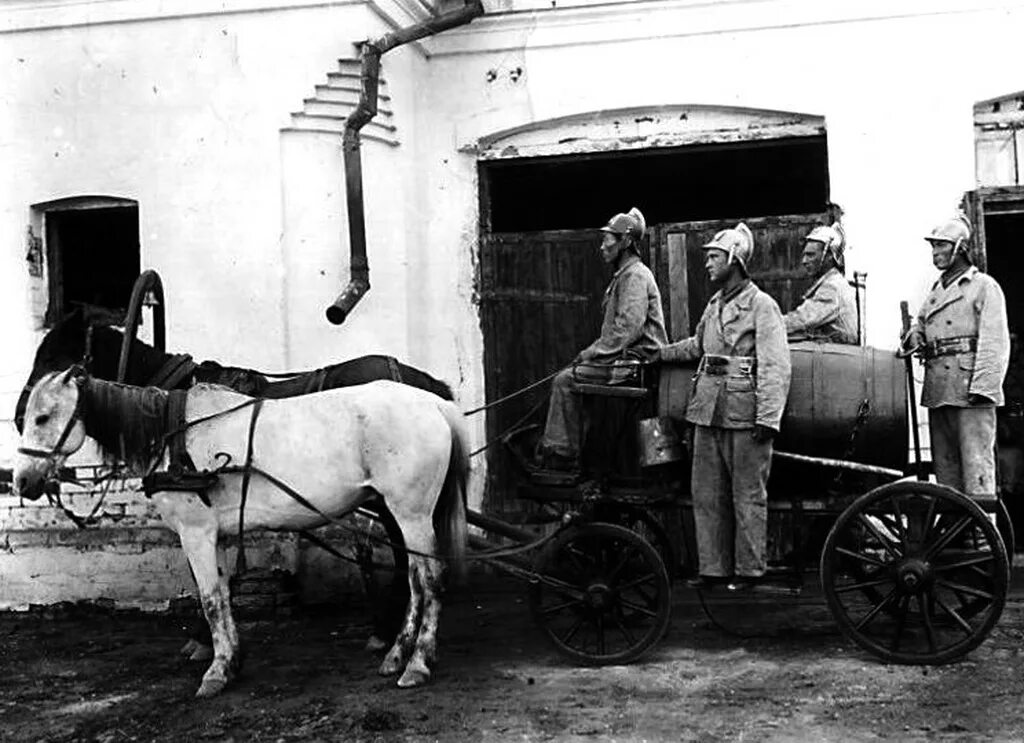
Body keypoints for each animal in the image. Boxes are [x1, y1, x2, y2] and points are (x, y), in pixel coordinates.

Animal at [12, 370, 468, 700]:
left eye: (42, 417)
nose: (22, 482)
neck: (175, 439)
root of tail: (435, 404)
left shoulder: (196, 533)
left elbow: (211, 600)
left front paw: (215, 671)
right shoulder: (215, 535)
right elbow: (224, 597)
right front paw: (231, 661)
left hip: (411, 513)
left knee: (429, 580)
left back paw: (418, 662)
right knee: (414, 580)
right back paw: (397, 654)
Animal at [16, 304, 452, 650]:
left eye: (52, 356)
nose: (18, 415)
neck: (170, 410)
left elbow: (204, 582)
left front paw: (202, 640)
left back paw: (390, 631)